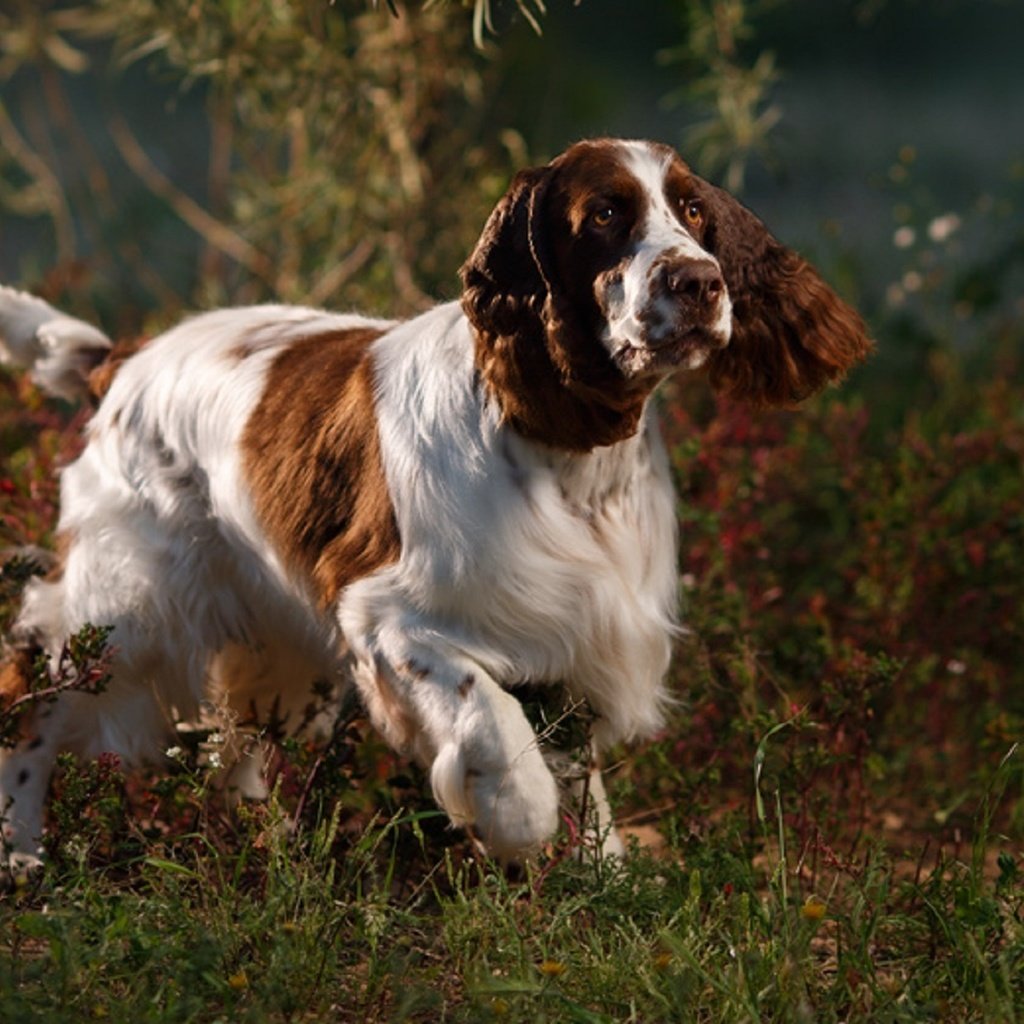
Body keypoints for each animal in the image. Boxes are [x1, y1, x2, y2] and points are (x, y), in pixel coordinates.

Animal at [0, 134, 872, 872]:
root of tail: (122, 360)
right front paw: (511, 824)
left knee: (235, 747)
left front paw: (609, 880)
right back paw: (21, 853)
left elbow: (582, 778)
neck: (562, 446)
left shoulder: (574, 627)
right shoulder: (390, 619)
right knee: (36, 702)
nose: (700, 283)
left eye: (692, 210)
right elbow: (496, 729)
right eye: (604, 215)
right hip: (126, 610)